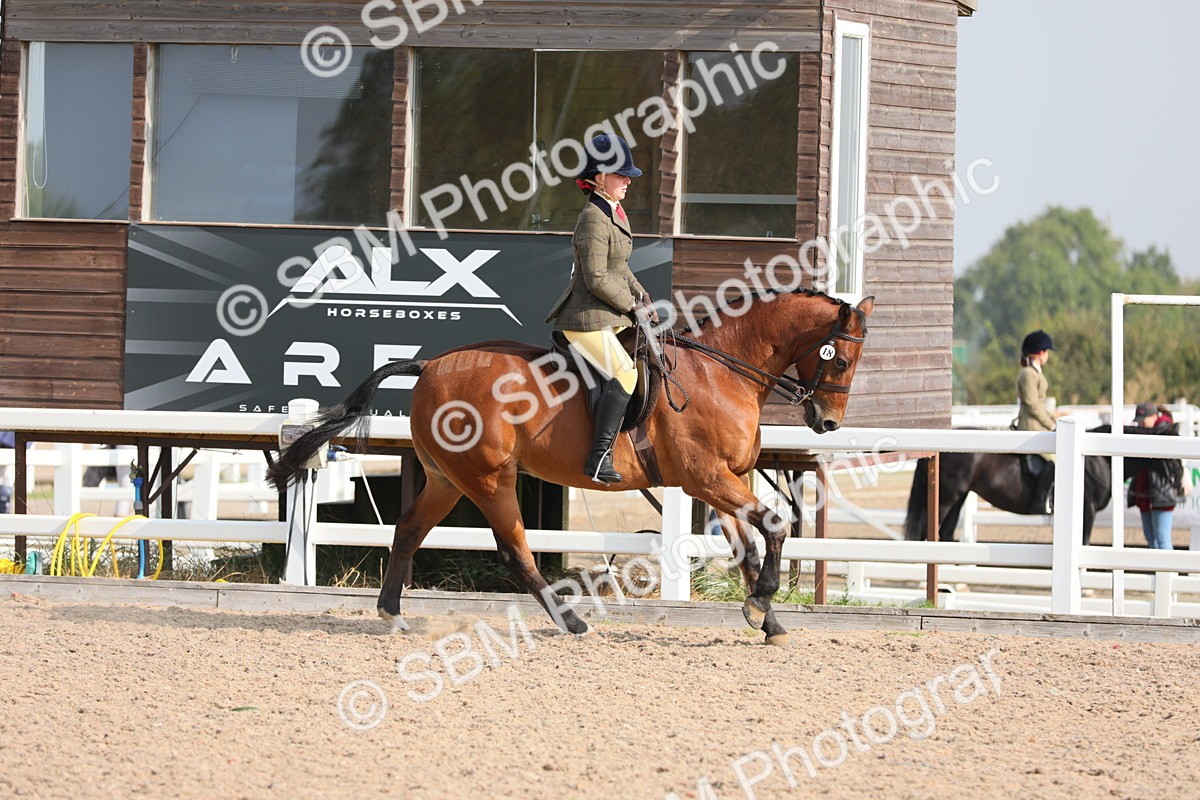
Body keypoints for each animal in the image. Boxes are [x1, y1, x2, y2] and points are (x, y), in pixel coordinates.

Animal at [268, 290, 875, 645]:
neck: (723, 373)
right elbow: (774, 527)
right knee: (514, 550)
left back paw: (393, 614)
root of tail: (431, 364)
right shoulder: (706, 478)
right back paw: (571, 622)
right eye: (841, 358)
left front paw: (764, 619)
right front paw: (763, 604)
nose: (826, 422)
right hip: (489, 478)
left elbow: (748, 546)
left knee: (409, 529)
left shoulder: (726, 481)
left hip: (447, 478)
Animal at [902, 425, 1166, 545]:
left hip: (958, 497)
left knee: (945, 533)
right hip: (946, 497)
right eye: (1169, 460)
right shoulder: (1087, 509)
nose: (1175, 489)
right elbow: (1084, 541)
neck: (1099, 459)